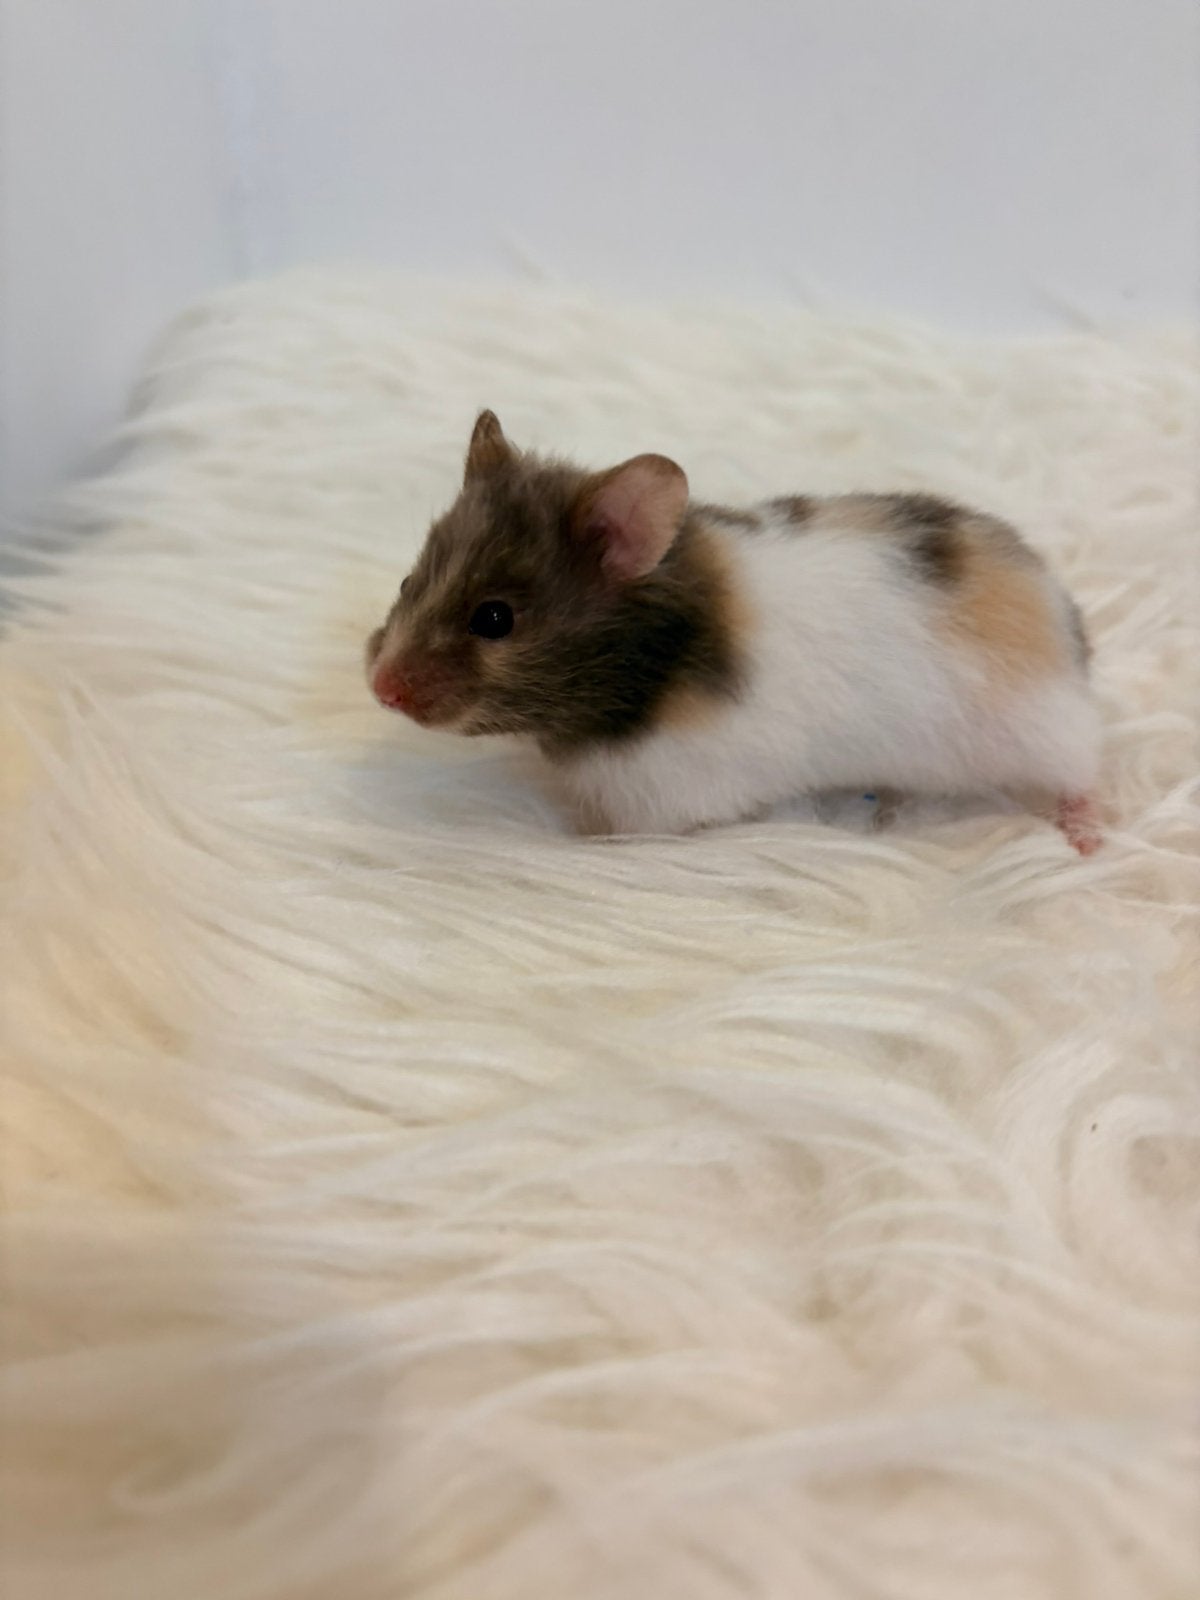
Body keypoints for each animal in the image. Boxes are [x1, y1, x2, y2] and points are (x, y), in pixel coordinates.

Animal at [366, 410, 1102, 853]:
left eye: (494, 619)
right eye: (405, 583)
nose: (379, 689)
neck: (649, 669)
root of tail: (1058, 609)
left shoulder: (667, 798)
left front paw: (582, 843)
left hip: (1039, 727)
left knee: (1087, 769)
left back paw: (1083, 840)